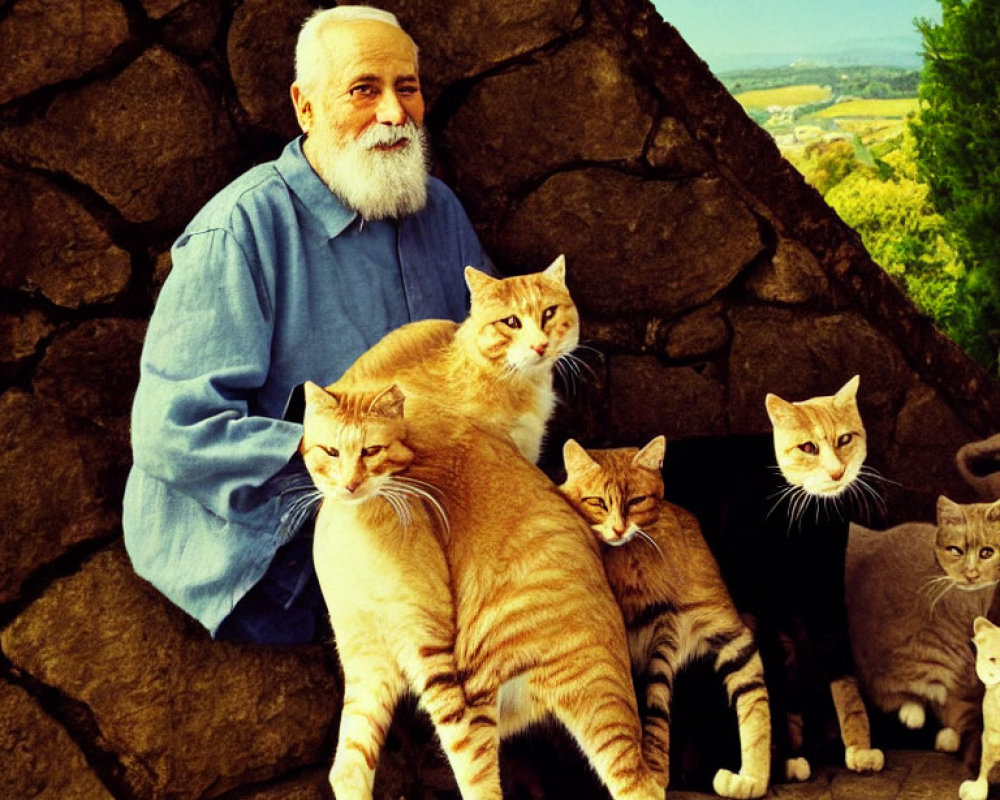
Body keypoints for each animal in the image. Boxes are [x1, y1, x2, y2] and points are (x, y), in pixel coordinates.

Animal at [304, 380, 664, 800]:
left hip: (583, 695)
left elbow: (471, 767)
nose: (350, 485)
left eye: (371, 451)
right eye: (331, 451)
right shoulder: (371, 661)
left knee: (636, 783)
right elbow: (350, 766)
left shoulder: (429, 650)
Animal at [560, 438, 768, 800]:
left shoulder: (668, 636)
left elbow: (656, 710)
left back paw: (752, 778)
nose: (618, 528)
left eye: (636, 501)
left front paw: (655, 772)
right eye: (597, 502)